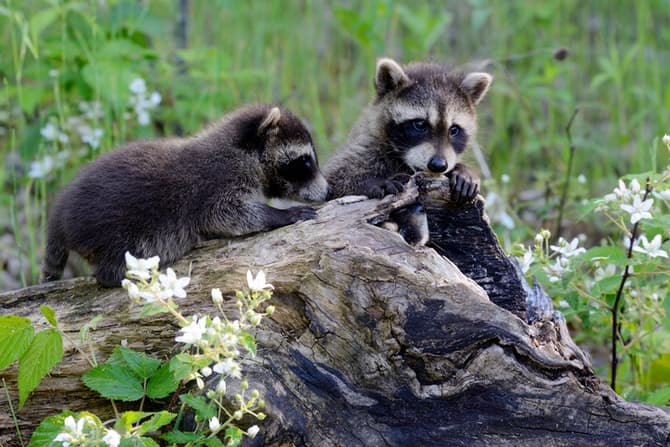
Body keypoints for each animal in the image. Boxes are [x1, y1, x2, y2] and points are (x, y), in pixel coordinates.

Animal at [43, 105, 330, 288]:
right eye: (305, 162)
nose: (328, 191)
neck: (244, 152)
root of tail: (60, 214)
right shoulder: (218, 182)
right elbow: (228, 214)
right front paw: (279, 214)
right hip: (115, 230)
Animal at [326, 57, 494, 204]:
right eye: (419, 124)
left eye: (453, 130)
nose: (438, 165)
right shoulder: (366, 146)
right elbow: (334, 180)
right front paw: (373, 182)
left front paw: (462, 171)